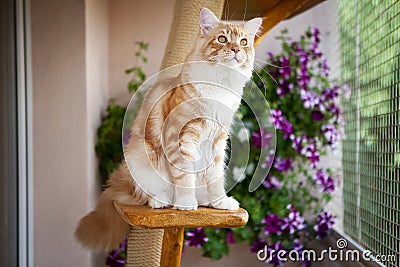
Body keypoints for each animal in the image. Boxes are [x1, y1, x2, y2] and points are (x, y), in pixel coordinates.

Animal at [75, 7, 262, 252]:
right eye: (222, 39)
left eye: (243, 41)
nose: (236, 49)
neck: (219, 86)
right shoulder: (180, 137)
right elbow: (184, 176)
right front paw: (186, 204)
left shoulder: (218, 140)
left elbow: (215, 177)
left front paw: (220, 202)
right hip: (143, 156)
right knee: (146, 195)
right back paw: (163, 200)